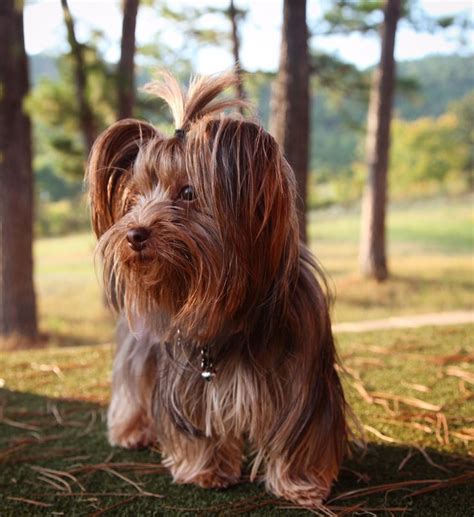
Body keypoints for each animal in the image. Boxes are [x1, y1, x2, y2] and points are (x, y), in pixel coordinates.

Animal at [86, 70, 344, 506]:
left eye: (189, 193)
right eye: (134, 199)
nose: (133, 235)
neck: (235, 318)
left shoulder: (305, 378)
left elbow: (301, 431)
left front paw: (301, 483)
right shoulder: (187, 374)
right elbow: (196, 425)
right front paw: (205, 471)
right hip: (142, 341)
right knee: (132, 379)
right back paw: (132, 430)